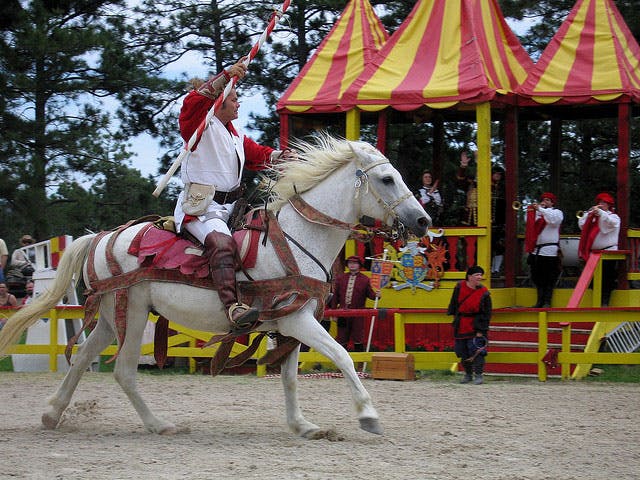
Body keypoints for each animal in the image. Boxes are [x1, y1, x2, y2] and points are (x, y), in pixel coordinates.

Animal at [1, 135, 430, 438]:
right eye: (387, 179)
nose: (423, 221)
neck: (297, 239)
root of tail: (100, 238)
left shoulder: (292, 320)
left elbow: (290, 377)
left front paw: (303, 426)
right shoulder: (298, 322)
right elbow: (342, 356)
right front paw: (368, 415)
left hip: (110, 317)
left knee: (82, 359)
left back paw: (52, 413)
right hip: (133, 312)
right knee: (123, 371)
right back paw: (159, 424)